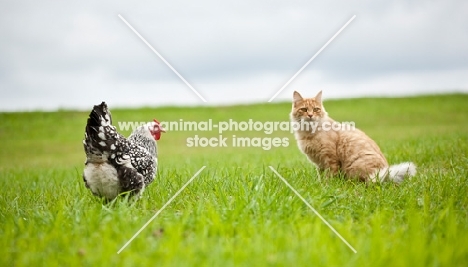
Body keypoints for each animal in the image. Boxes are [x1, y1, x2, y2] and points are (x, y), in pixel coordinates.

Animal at [288, 91, 416, 183]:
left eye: (316, 109)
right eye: (304, 109)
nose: (310, 115)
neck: (309, 133)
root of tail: (384, 174)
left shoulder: (330, 159)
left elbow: (330, 177)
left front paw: (328, 186)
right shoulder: (319, 164)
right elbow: (321, 176)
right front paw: (320, 184)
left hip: (354, 167)